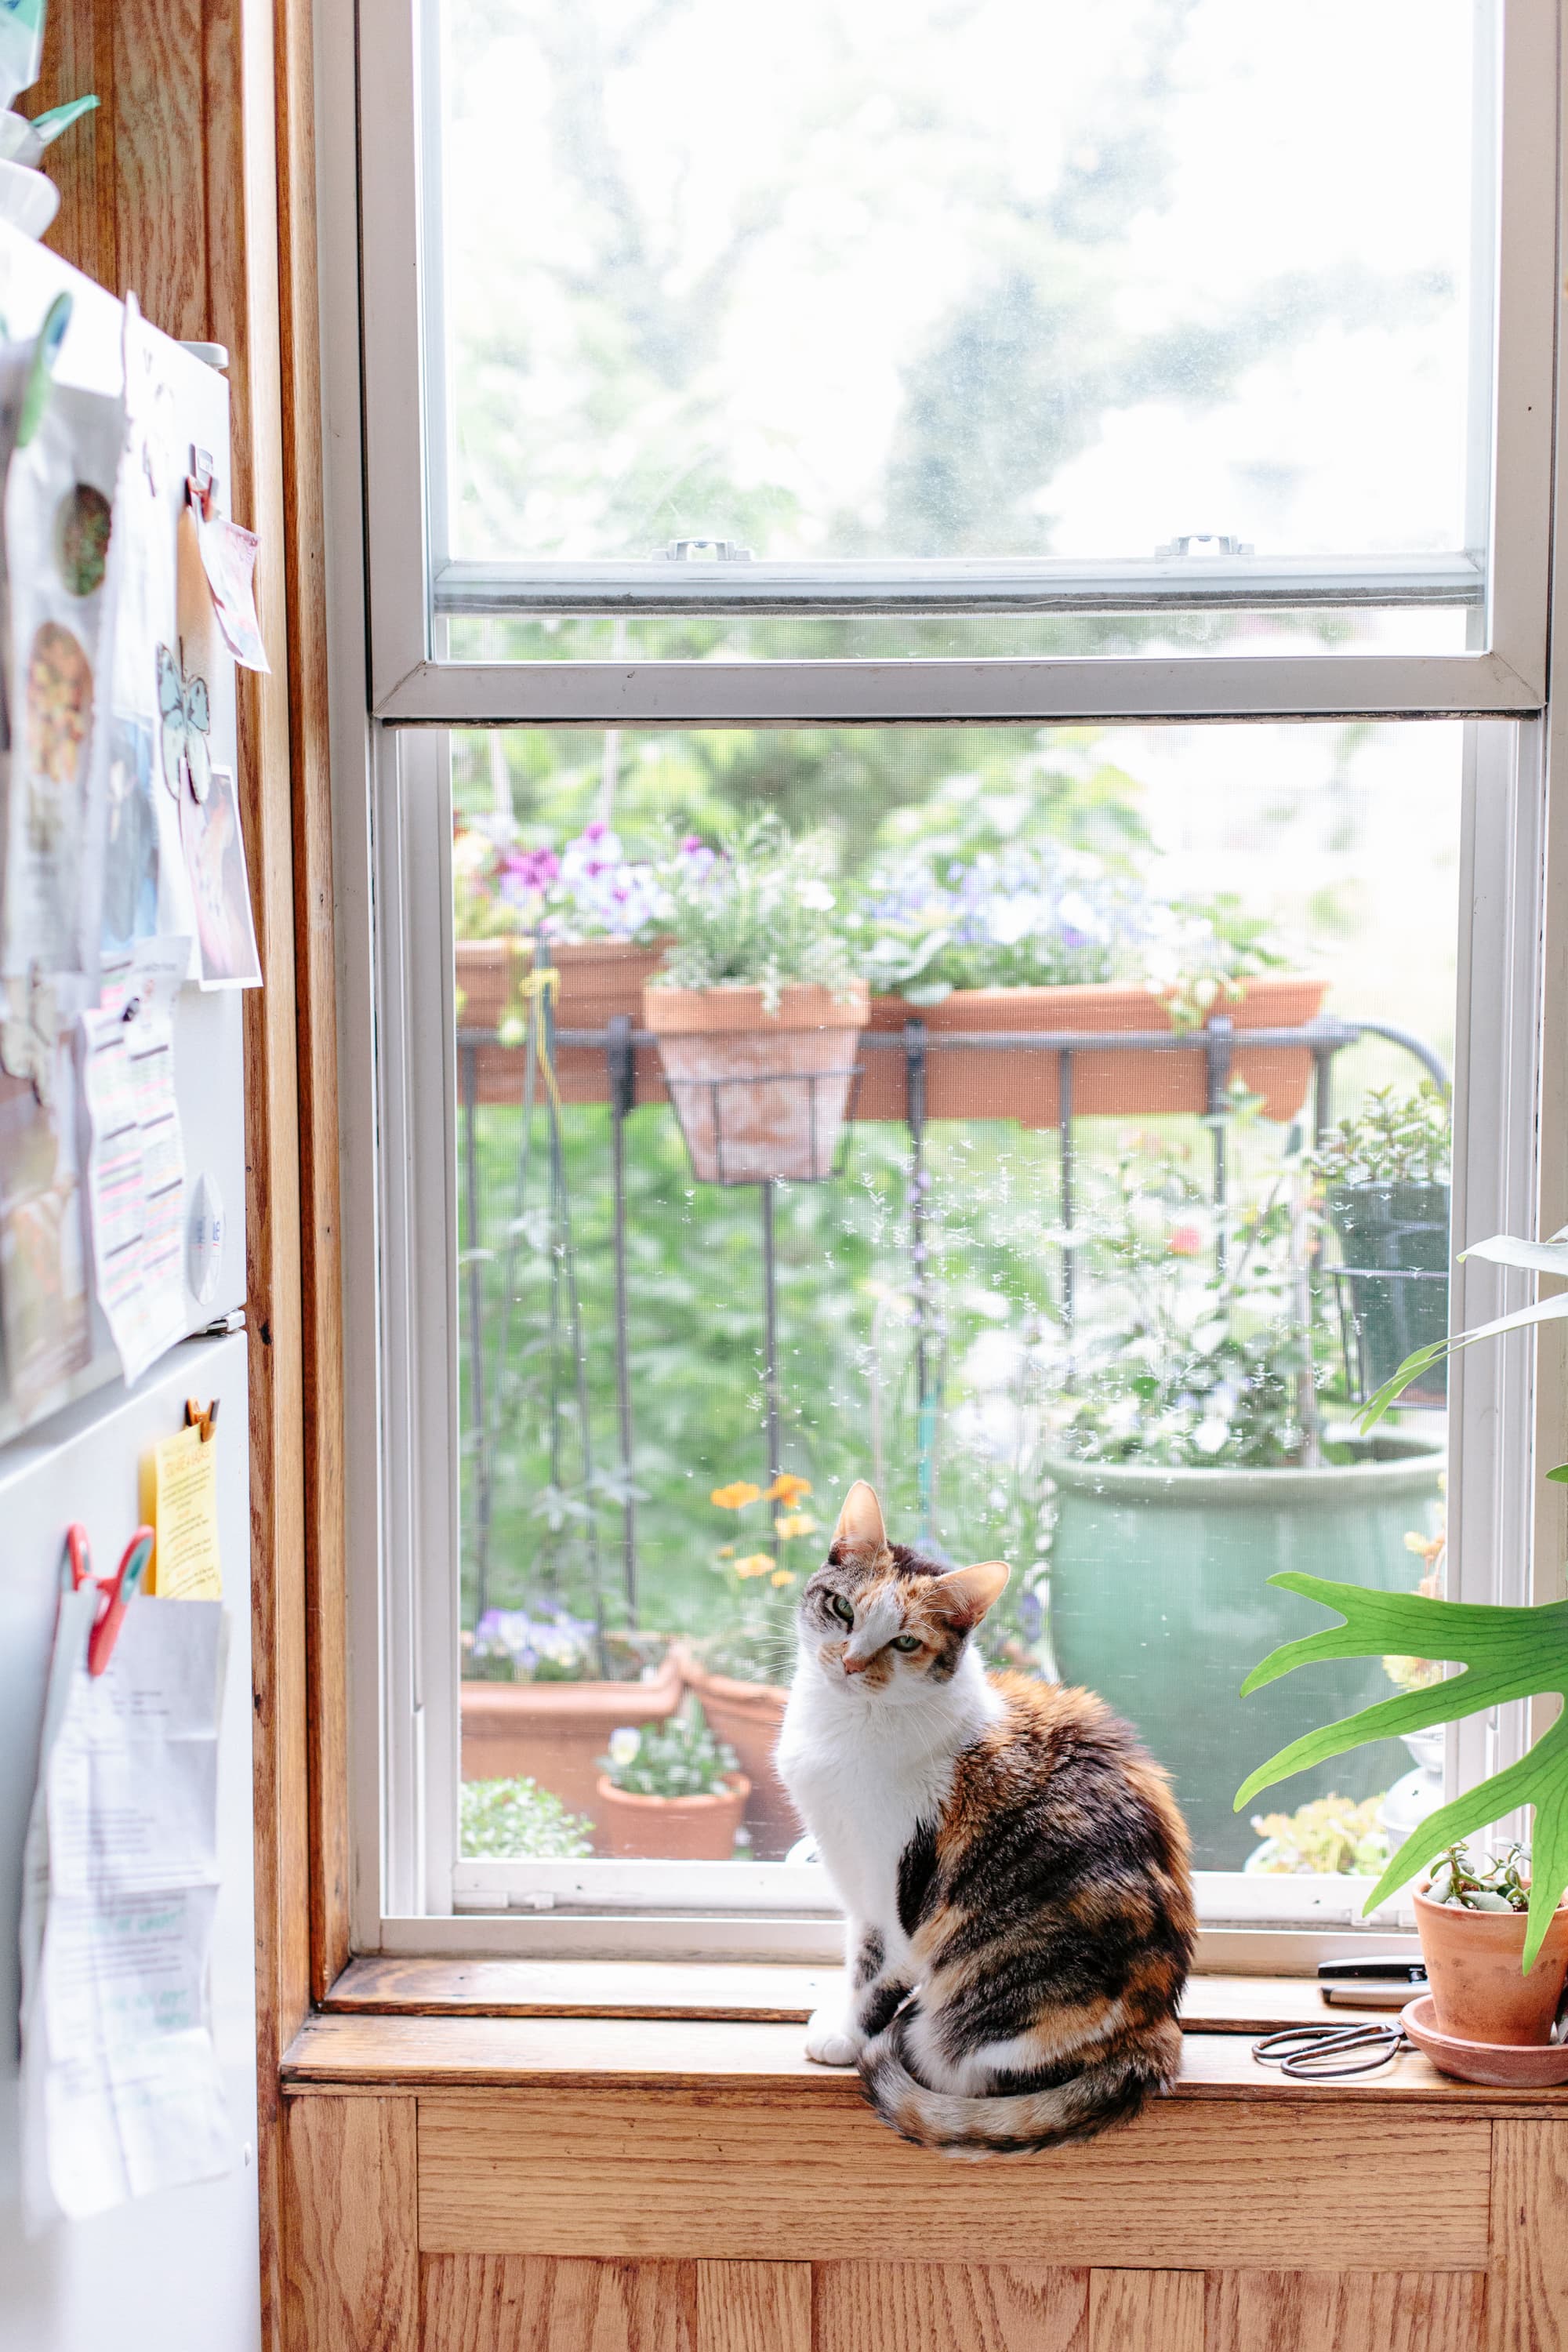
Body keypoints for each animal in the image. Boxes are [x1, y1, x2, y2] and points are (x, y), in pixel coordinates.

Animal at [780, 1477, 1194, 2154]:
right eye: (842, 1609)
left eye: (905, 1642)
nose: (849, 1663)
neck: (845, 1728)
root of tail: (1153, 2039)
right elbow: (855, 1957)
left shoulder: (898, 1891)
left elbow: (876, 1974)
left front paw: (845, 2035)